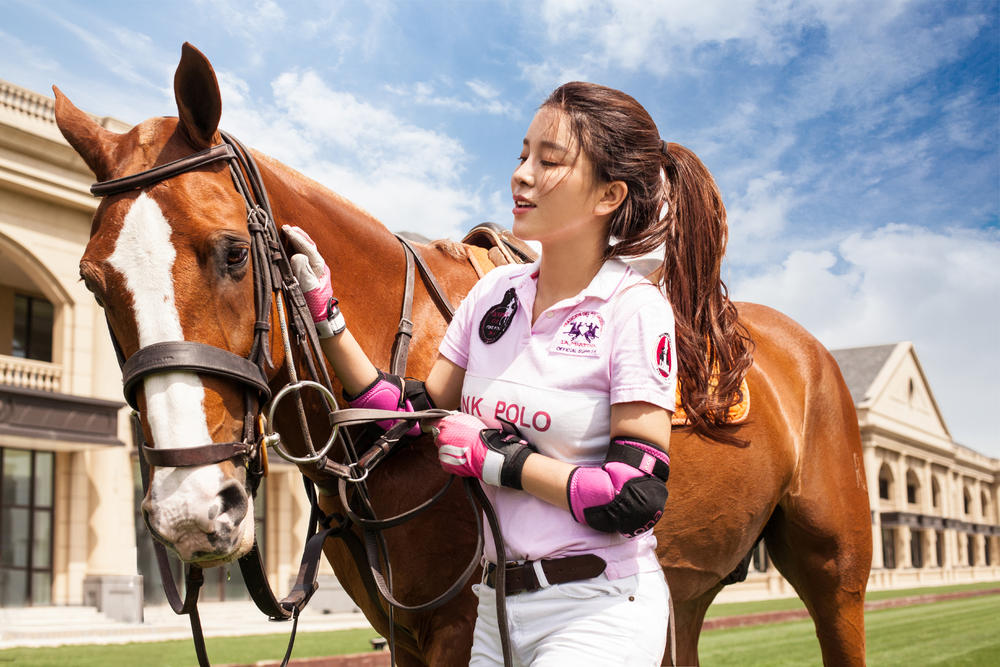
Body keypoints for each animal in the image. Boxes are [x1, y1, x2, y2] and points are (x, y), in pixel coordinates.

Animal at [56, 43, 872, 666]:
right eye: (93, 280)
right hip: (686, 589)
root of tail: (806, 348)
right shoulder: (402, 628)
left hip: (835, 571)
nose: (192, 508)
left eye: (230, 251)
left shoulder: (455, 622)